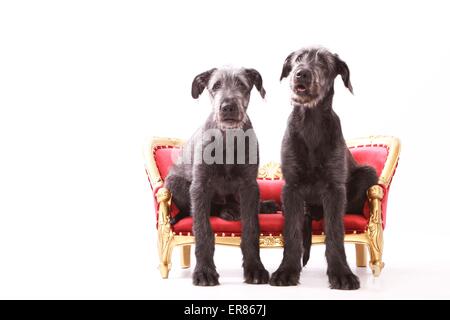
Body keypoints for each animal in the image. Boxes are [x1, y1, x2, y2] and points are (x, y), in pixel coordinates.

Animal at [163, 66, 272, 286]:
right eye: (215, 86)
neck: (228, 139)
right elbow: (203, 230)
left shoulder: (249, 187)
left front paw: (255, 268)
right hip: (175, 182)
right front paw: (204, 271)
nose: (228, 107)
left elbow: (251, 228)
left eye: (242, 85)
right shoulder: (200, 187)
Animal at [270, 47, 380, 290]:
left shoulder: (334, 188)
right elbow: (292, 232)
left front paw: (341, 273)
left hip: (369, 172)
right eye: (297, 59)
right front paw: (286, 271)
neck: (310, 122)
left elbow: (335, 231)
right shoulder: (291, 188)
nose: (301, 74)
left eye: (323, 63)